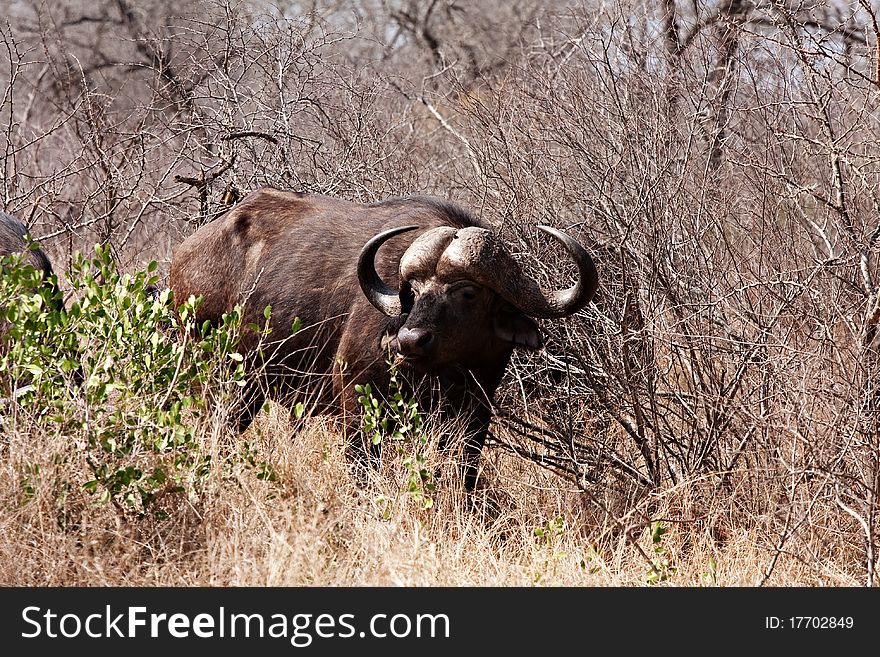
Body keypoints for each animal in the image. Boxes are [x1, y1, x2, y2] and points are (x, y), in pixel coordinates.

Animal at [170, 187, 600, 490]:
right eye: (414, 289)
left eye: (467, 292)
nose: (409, 340)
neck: (442, 373)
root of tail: (186, 253)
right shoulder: (357, 401)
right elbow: (364, 469)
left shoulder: (475, 413)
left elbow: (464, 473)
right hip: (222, 380)